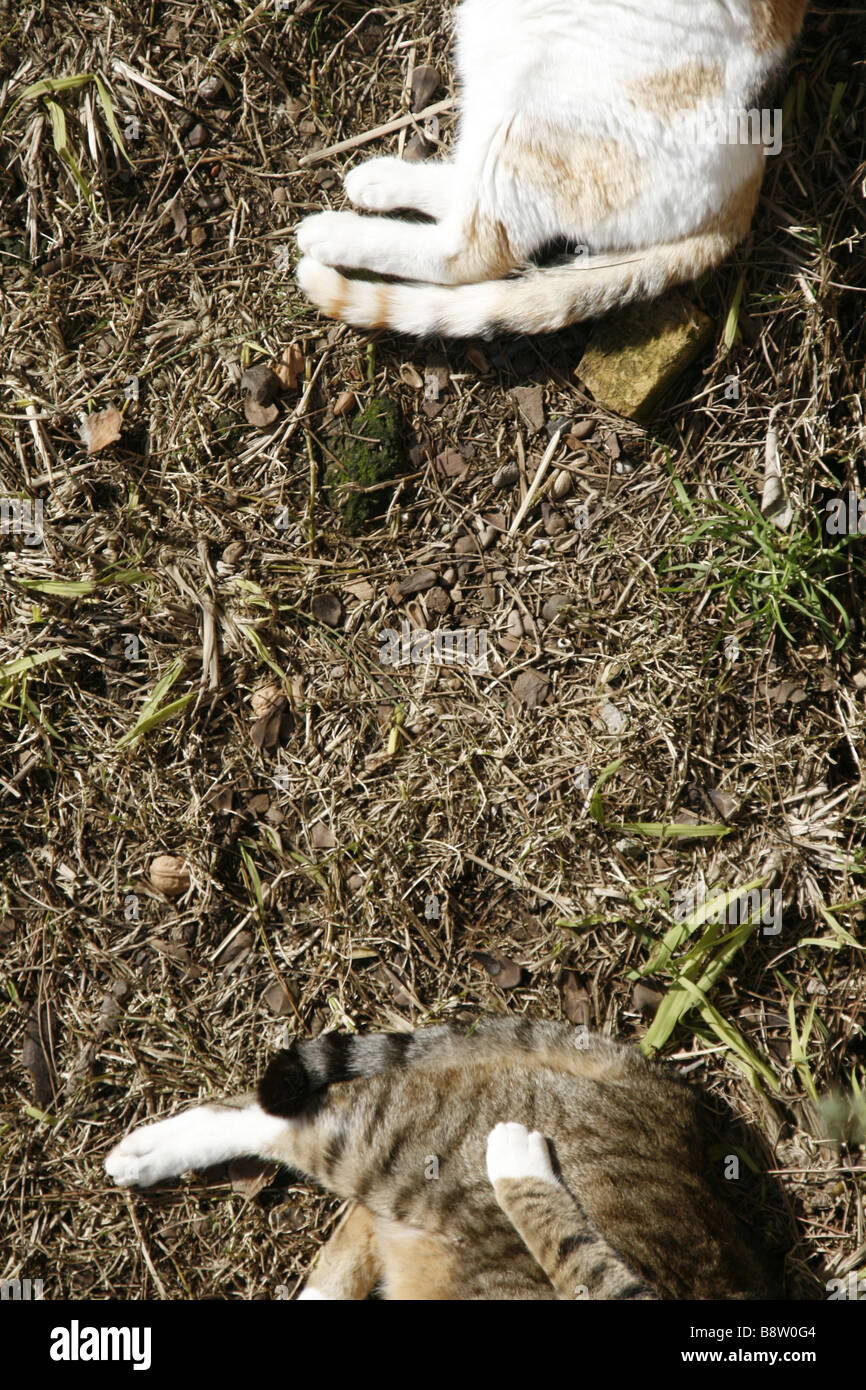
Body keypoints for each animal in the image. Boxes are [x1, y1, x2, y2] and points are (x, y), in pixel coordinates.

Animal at [296, 0, 806, 336]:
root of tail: (747, 179)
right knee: (465, 189)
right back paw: (377, 181)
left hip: (537, 105)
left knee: (473, 250)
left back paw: (331, 234)